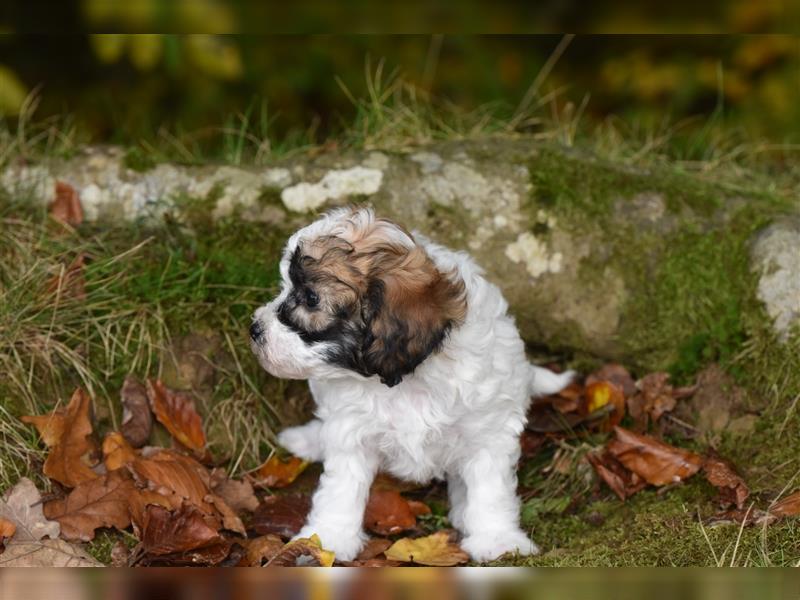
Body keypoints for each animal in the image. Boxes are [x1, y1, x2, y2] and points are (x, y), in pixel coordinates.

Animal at [248, 207, 568, 564]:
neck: (404, 381)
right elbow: (341, 488)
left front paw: (498, 539)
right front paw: (327, 540)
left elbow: (490, 488)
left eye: (310, 299)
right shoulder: (351, 430)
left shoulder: (488, 430)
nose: (255, 329)